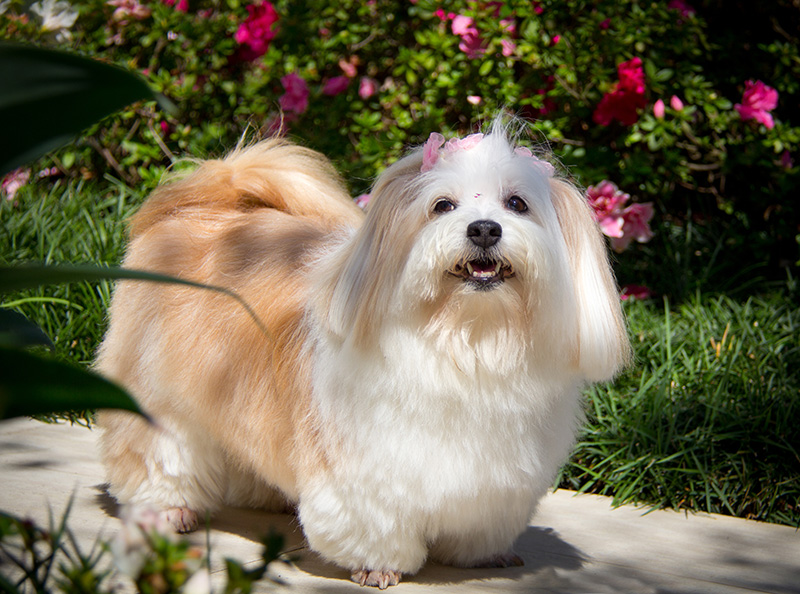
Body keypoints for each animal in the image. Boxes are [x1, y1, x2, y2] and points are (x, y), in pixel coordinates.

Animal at [95, 118, 632, 584]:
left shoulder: (497, 482)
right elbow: (375, 522)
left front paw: (482, 554)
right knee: (157, 453)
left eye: (517, 203)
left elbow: (482, 521)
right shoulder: (367, 471)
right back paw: (170, 510)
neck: (468, 337)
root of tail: (206, 201)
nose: (483, 228)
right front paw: (379, 567)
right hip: (157, 394)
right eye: (442, 206)